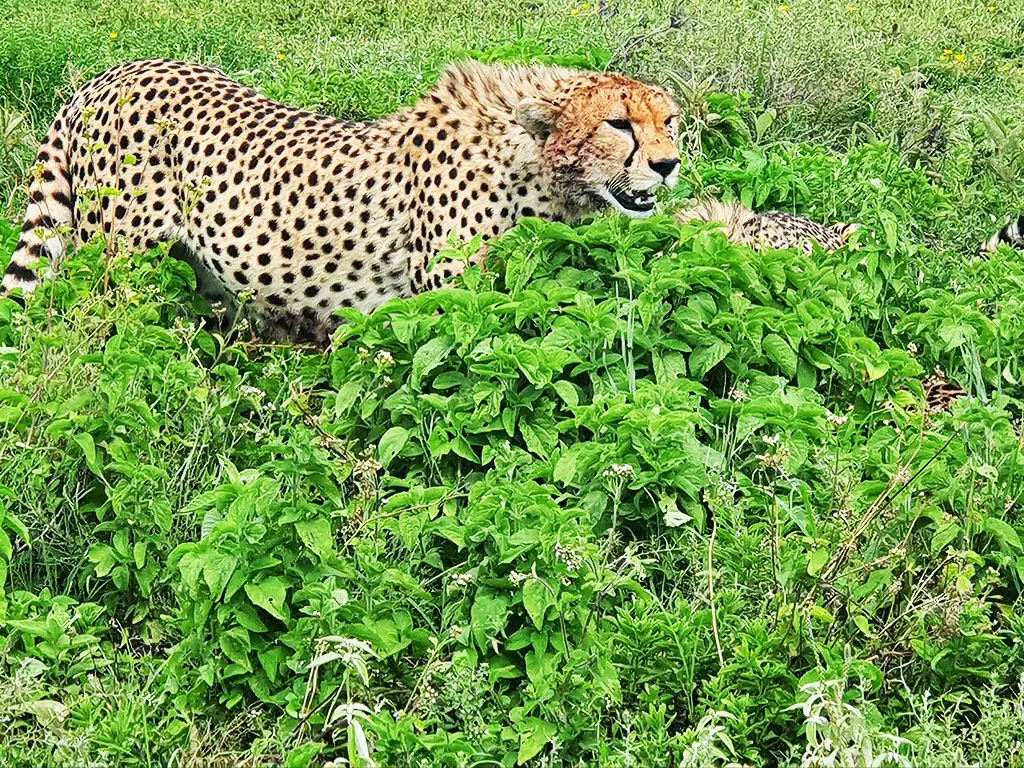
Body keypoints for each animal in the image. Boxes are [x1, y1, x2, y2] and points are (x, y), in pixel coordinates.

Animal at [6, 58, 679, 337]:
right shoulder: (450, 302)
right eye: (619, 125)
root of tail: (113, 72)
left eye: (669, 121)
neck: (529, 162)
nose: (669, 165)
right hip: (120, 262)